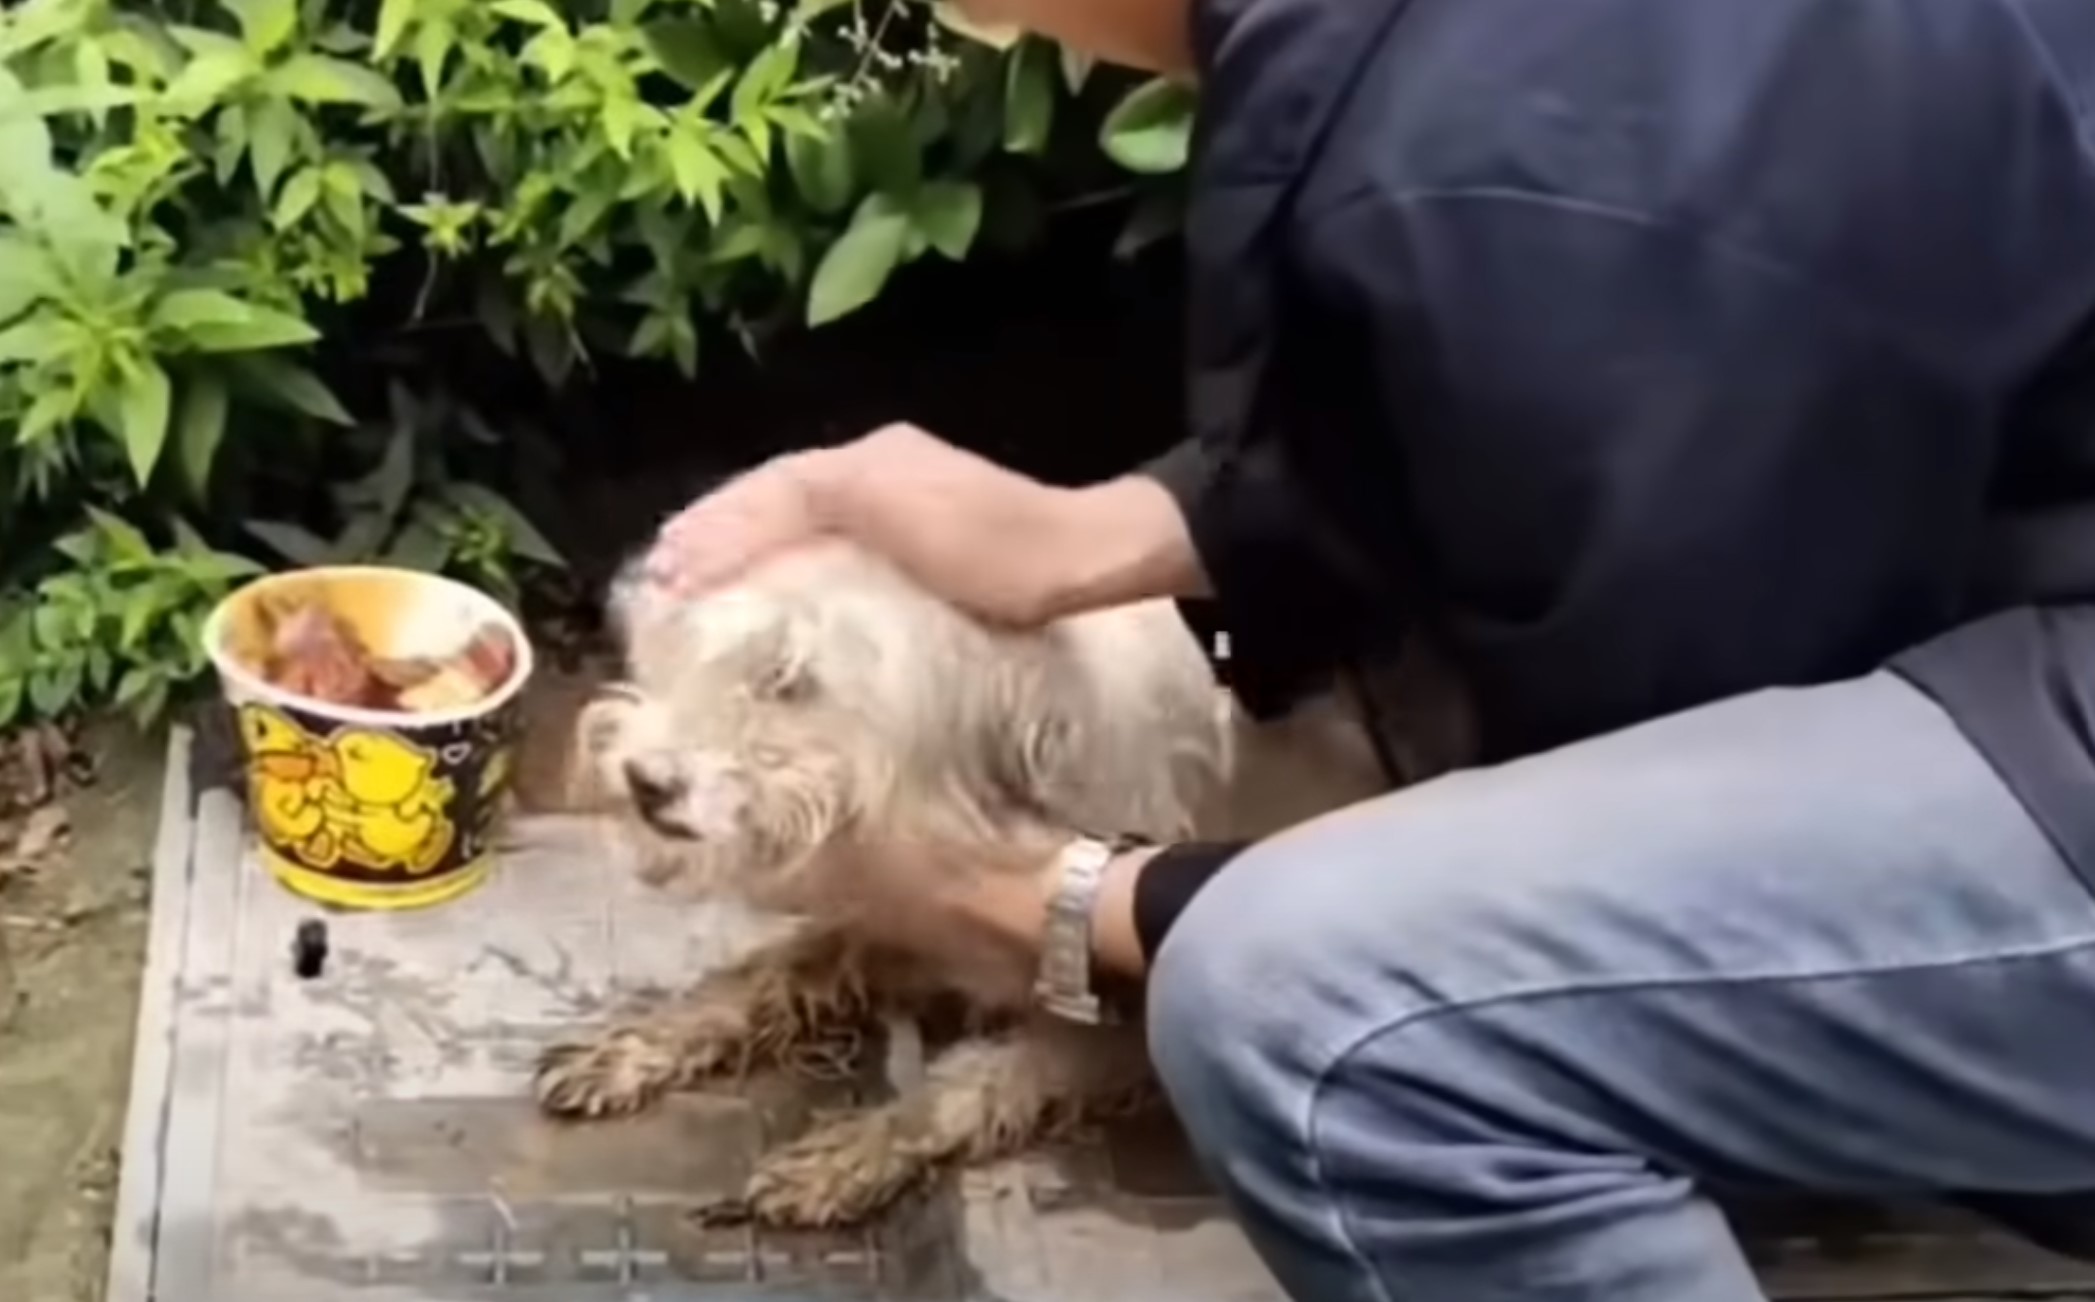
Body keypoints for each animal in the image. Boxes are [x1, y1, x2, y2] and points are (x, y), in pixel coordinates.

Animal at [536, 532, 1441, 1224]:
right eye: (697, 653)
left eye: (794, 682)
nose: (645, 781)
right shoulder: (911, 918)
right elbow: (774, 970)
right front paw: (639, 1045)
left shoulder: (1115, 1030)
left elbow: (968, 1085)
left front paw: (852, 1152)